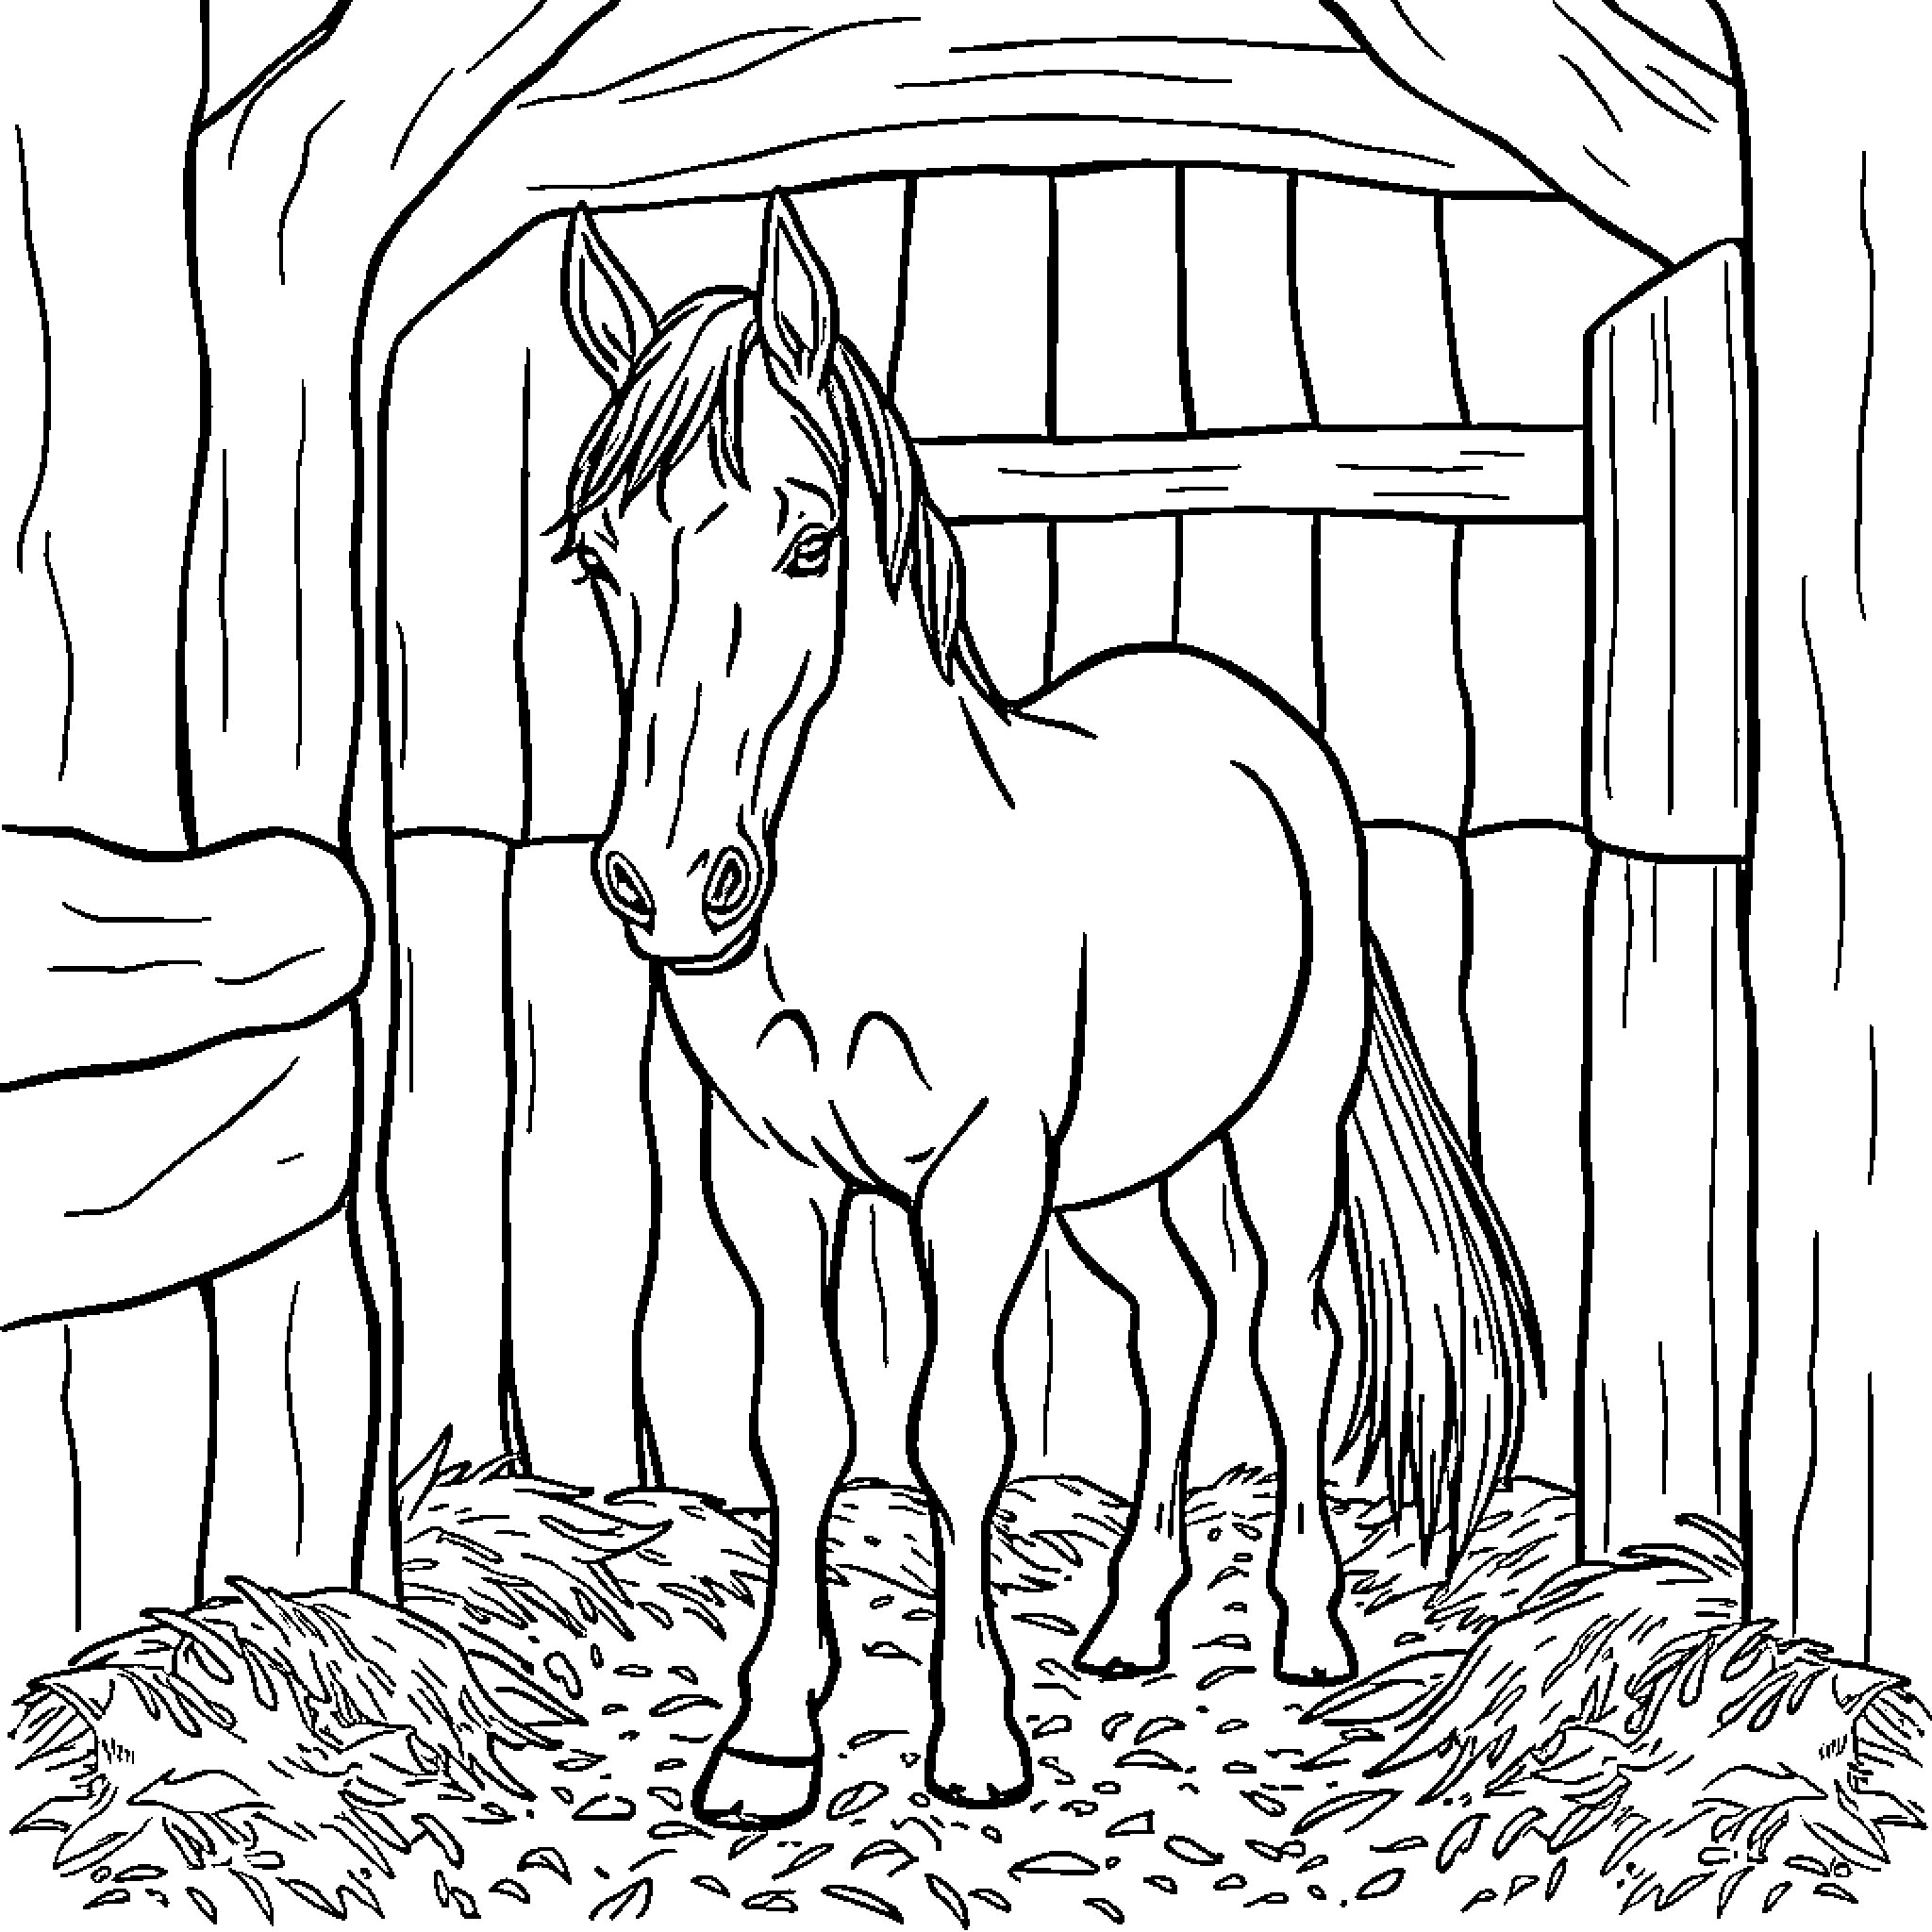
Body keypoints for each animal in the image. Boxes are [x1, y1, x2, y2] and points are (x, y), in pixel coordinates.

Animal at [552, 193, 1539, 1827]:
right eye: (595, 562)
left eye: (811, 540)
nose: (671, 885)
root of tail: (1246, 711)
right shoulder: (766, 1178)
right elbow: (801, 1426)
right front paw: (770, 1741)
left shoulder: (979, 1178)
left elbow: (961, 1434)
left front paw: (973, 1744)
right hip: (1119, 1180)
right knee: (1174, 1328)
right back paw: (1132, 1620)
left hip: (1280, 1135)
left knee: (1287, 1340)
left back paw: (1309, 1630)